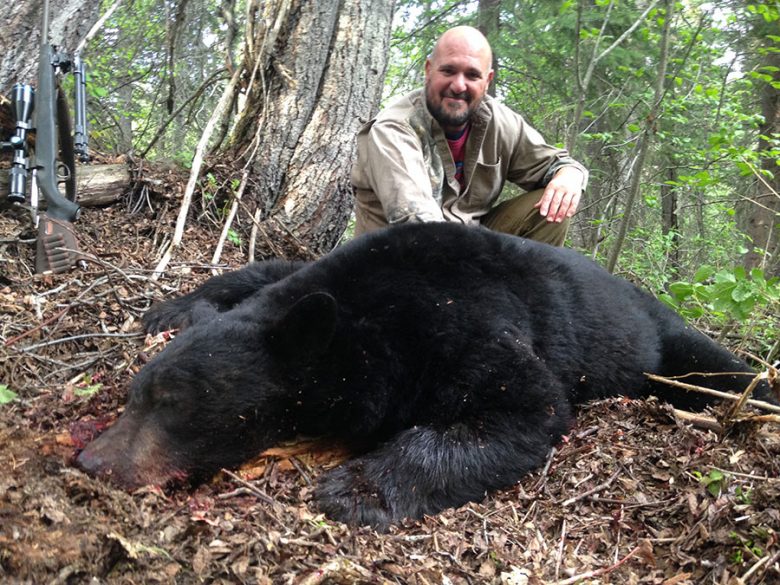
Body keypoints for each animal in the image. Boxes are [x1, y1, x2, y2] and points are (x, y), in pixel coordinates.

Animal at [76, 222, 776, 528]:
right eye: (137, 394)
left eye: (174, 402)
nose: (90, 461)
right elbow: (265, 268)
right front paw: (170, 308)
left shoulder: (465, 321)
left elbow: (525, 402)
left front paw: (355, 488)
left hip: (661, 337)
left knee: (712, 362)